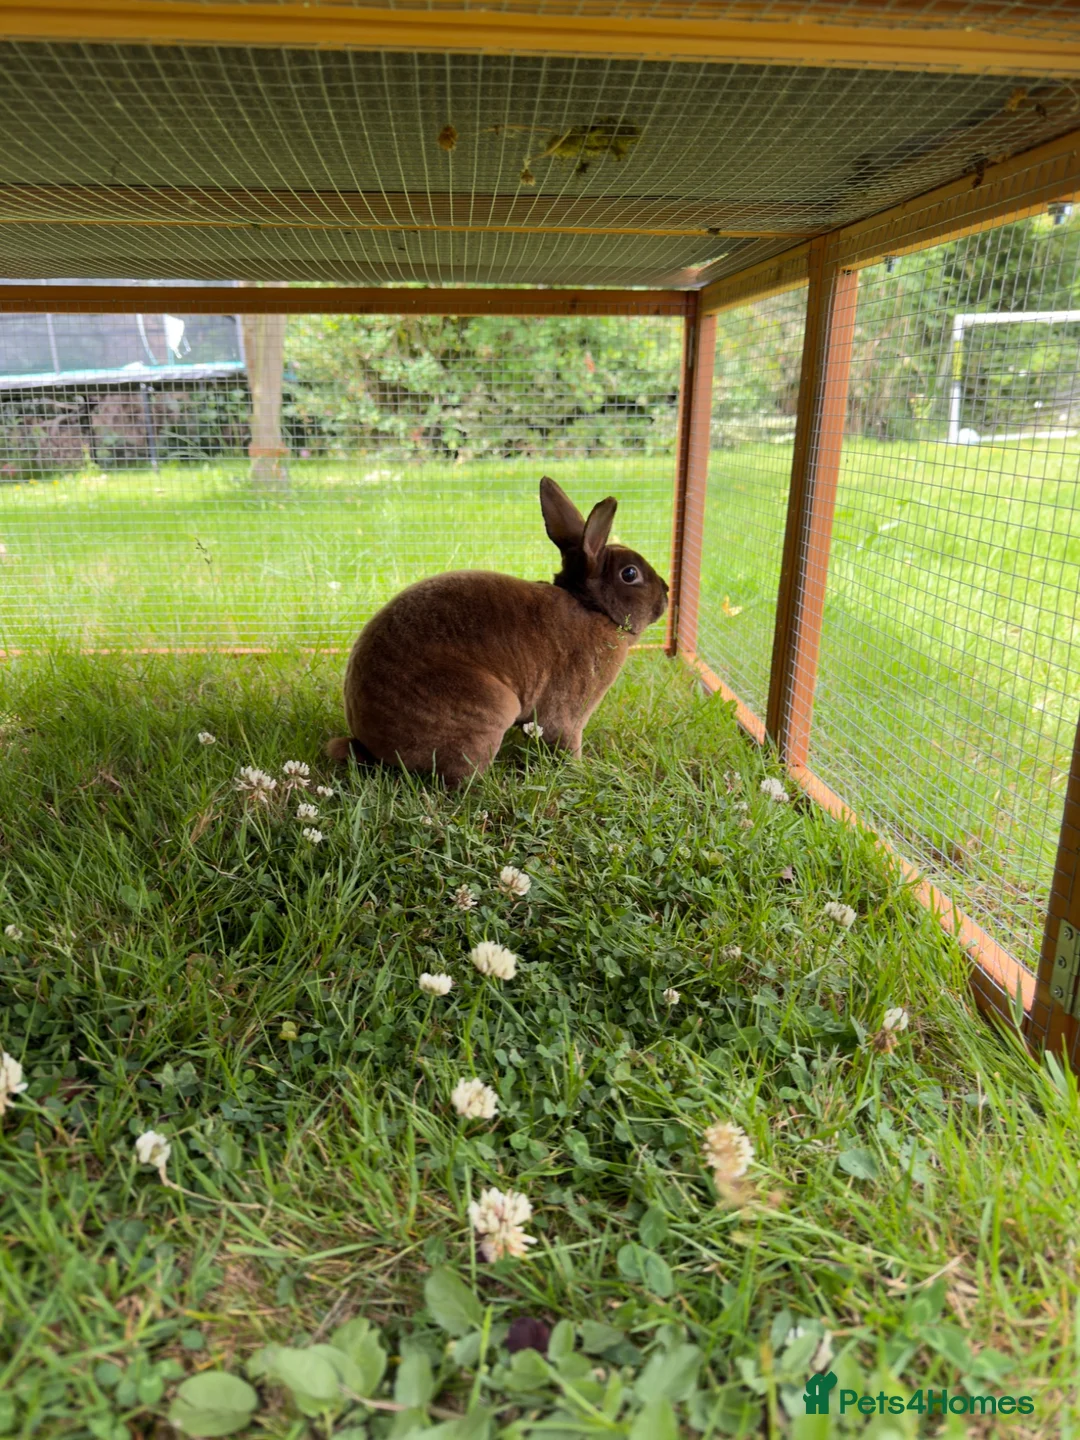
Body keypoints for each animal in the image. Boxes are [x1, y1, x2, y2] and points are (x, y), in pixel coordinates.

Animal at [326, 477, 668, 788]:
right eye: (630, 574)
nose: (666, 594)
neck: (593, 608)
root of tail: (372, 745)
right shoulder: (570, 712)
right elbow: (565, 739)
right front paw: (580, 770)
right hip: (488, 710)